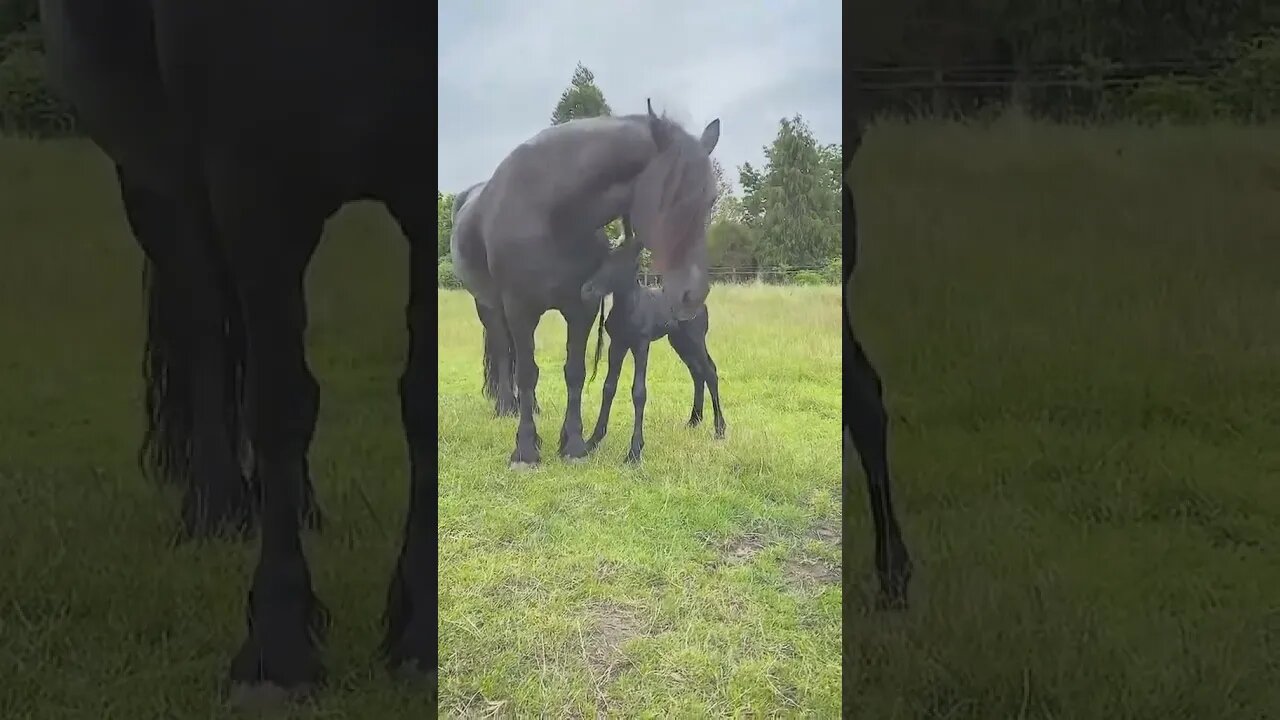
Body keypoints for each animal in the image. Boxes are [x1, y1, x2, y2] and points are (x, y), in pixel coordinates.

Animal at [40, 0, 435, 702]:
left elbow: (420, 398)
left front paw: (419, 634)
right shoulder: (252, 176)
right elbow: (278, 406)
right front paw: (277, 647)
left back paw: (297, 504)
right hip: (162, 187)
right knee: (207, 335)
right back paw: (216, 510)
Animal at [583, 235, 727, 461]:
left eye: (622, 262)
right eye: (604, 260)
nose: (586, 290)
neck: (629, 307)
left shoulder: (641, 345)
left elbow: (639, 392)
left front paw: (634, 452)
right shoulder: (617, 345)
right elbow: (608, 387)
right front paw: (592, 441)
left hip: (695, 339)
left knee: (710, 372)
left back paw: (719, 429)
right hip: (679, 342)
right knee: (697, 372)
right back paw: (693, 421)